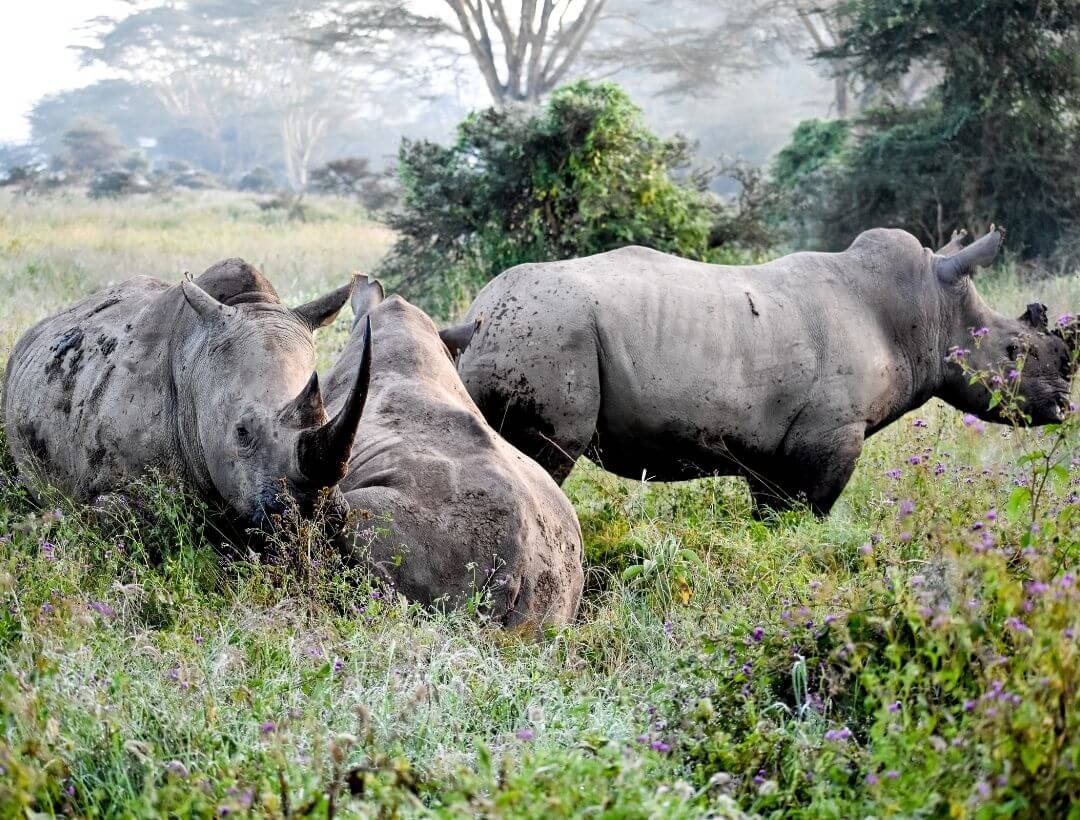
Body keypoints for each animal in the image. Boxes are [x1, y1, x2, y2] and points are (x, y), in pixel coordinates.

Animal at [456, 227, 1076, 516]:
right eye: (1014, 352)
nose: (1063, 404)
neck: (928, 309)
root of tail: (480, 312)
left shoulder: (773, 446)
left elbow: (770, 515)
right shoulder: (830, 434)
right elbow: (808, 513)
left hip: (527, 329)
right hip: (549, 332)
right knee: (548, 458)